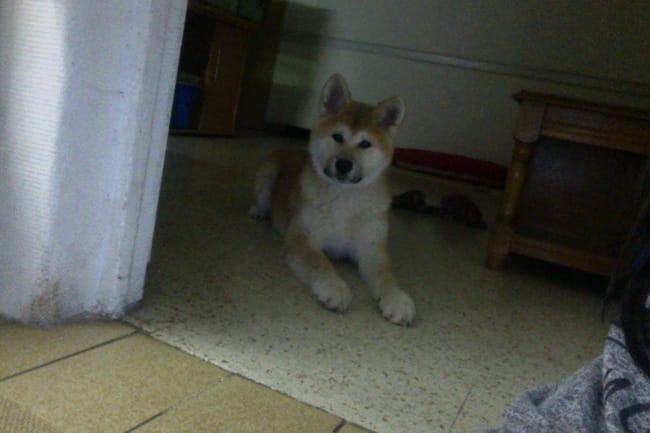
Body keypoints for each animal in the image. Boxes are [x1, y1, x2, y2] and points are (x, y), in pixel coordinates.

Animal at [250, 74, 415, 325]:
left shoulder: (371, 249)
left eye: (365, 144)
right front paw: (334, 288)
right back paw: (258, 211)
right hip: (268, 173)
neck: (345, 199)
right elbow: (321, 265)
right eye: (337, 137)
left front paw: (396, 299)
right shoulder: (303, 240)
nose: (344, 164)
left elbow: (386, 276)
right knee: (261, 198)